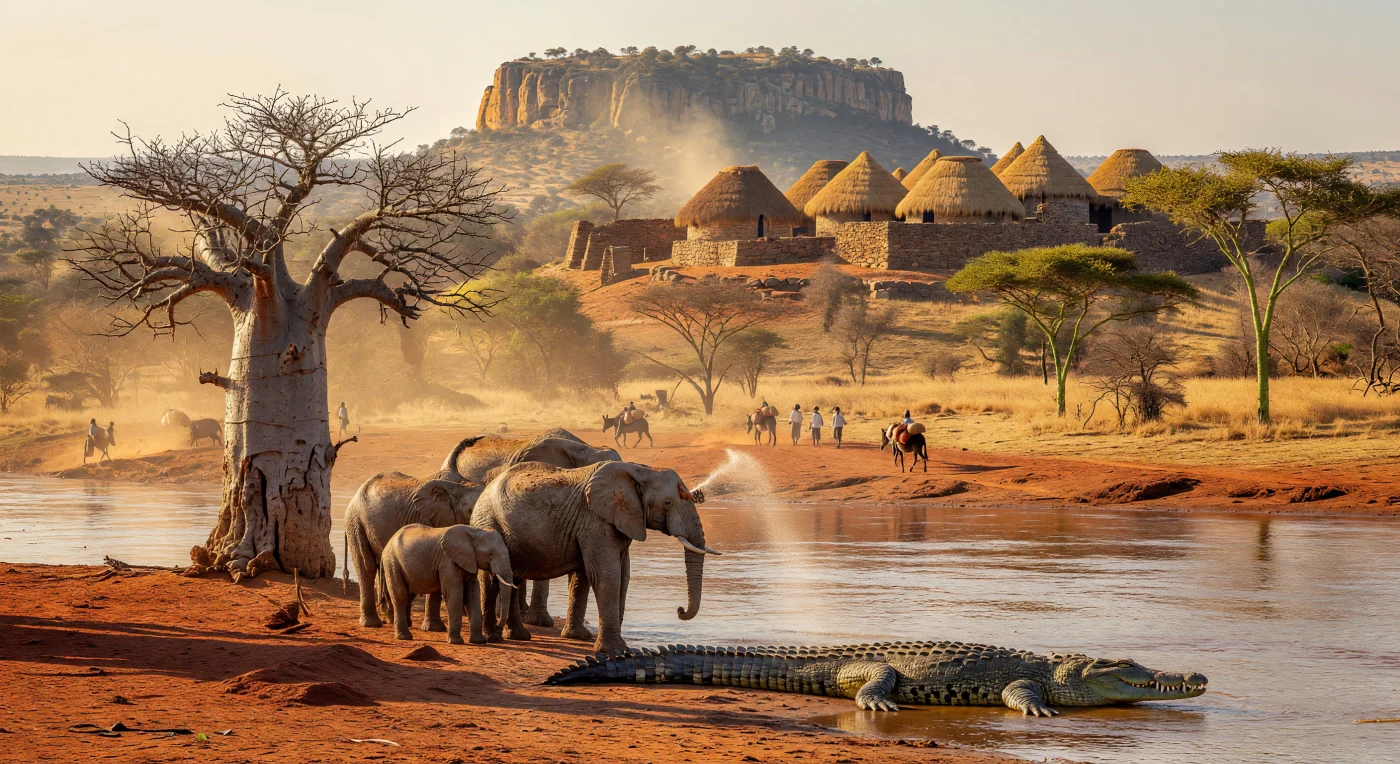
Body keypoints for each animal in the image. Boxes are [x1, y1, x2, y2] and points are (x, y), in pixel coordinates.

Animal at [345, 436, 485, 629]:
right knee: (367, 566)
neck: (461, 486)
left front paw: (434, 628)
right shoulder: (430, 518)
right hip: (355, 522)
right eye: (471, 511)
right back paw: (372, 623)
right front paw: (434, 629)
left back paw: (394, 620)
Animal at [375, 523, 515, 644]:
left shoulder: (470, 562)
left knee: (408, 596)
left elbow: (472, 594)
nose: (498, 627)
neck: (475, 532)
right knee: (400, 596)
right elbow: (454, 594)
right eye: (490, 554)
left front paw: (479, 641)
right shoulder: (448, 561)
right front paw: (456, 642)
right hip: (392, 562)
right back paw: (404, 637)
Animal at [471, 460, 719, 654]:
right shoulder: (594, 520)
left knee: (514, 578)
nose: (679, 610)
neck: (642, 470)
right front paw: (616, 650)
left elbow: (615, 576)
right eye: (667, 503)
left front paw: (580, 638)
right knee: (493, 579)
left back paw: (518, 636)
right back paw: (497, 638)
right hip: (488, 523)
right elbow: (607, 575)